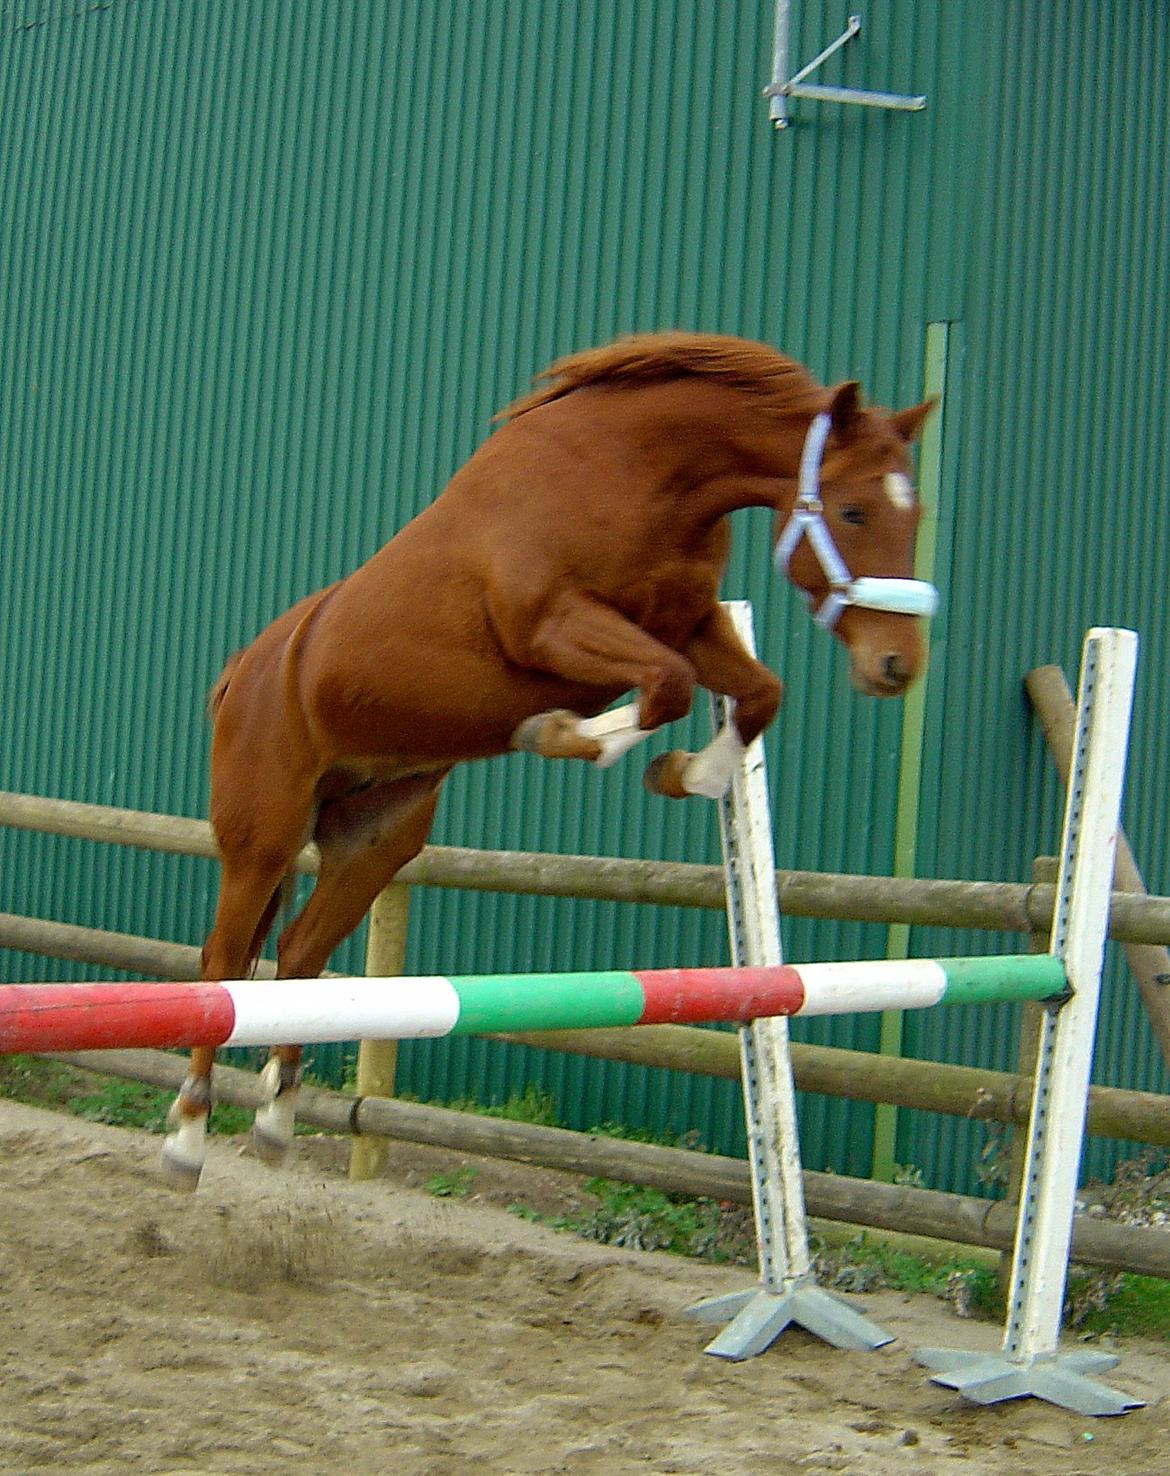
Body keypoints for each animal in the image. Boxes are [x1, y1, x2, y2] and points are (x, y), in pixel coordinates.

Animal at [160, 332, 938, 1186]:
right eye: (854, 510)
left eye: (916, 514)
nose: (897, 667)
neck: (641, 471)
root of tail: (245, 670)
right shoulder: (553, 627)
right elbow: (667, 685)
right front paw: (561, 734)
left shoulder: (690, 621)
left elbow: (757, 693)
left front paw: (687, 775)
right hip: (265, 835)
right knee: (224, 961)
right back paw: (187, 1136)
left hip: (374, 840)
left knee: (298, 954)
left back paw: (274, 1118)